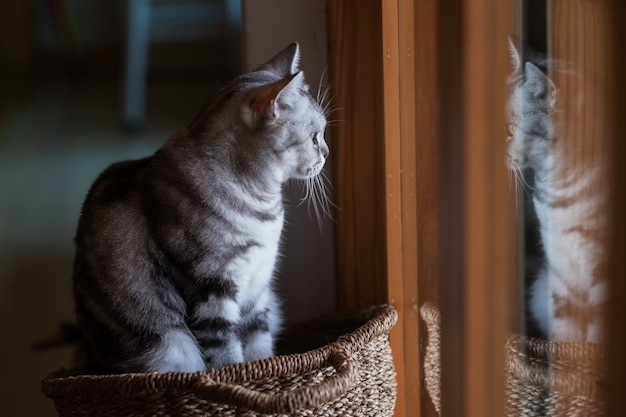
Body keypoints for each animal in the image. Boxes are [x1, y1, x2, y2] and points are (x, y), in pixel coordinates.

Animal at [71, 42, 330, 372]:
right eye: (315, 137)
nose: (327, 152)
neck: (263, 207)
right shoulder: (210, 291)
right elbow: (226, 358)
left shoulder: (258, 291)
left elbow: (259, 346)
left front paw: (267, 370)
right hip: (167, 344)